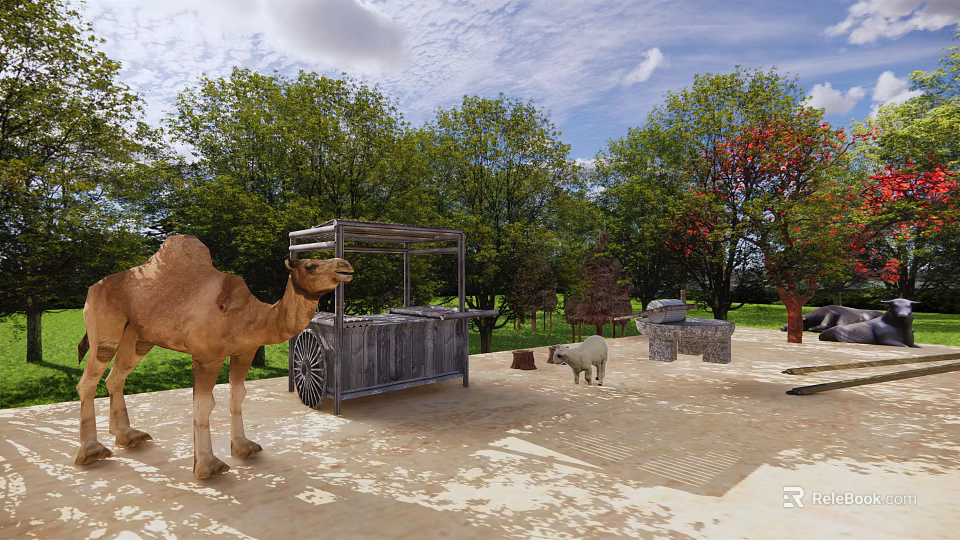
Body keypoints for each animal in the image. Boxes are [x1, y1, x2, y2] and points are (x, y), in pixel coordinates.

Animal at [75, 235, 353, 479]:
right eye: (310, 265)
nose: (345, 265)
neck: (248, 316)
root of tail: (92, 288)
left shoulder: (245, 351)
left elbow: (238, 394)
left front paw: (243, 448)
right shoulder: (206, 356)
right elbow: (203, 405)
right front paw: (207, 467)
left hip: (137, 336)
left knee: (115, 378)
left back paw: (128, 437)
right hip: (104, 325)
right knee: (89, 379)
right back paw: (91, 452)